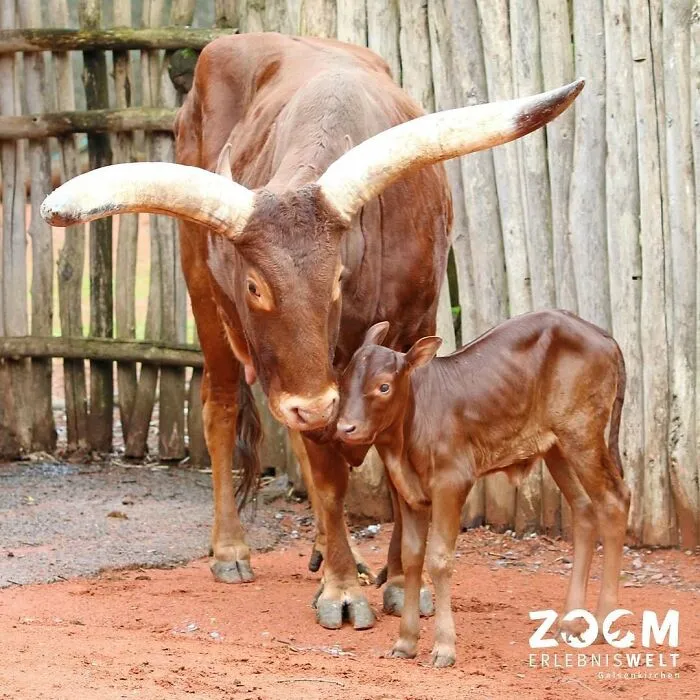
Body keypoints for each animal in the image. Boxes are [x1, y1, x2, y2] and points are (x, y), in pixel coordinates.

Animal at [41, 33, 583, 631]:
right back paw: (232, 549)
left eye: (338, 278)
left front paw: (403, 582)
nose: (313, 405)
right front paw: (342, 592)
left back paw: (328, 547)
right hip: (206, 296)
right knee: (222, 408)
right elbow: (327, 478)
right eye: (254, 285)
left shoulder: (413, 329)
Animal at [334, 310, 629, 665]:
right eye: (345, 380)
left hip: (582, 433)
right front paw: (406, 642)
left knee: (614, 502)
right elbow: (411, 557)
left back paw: (600, 625)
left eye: (383, 386)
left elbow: (439, 559)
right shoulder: (410, 494)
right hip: (557, 446)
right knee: (584, 508)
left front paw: (444, 647)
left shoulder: (452, 481)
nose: (345, 428)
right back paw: (569, 623)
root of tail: (604, 336)